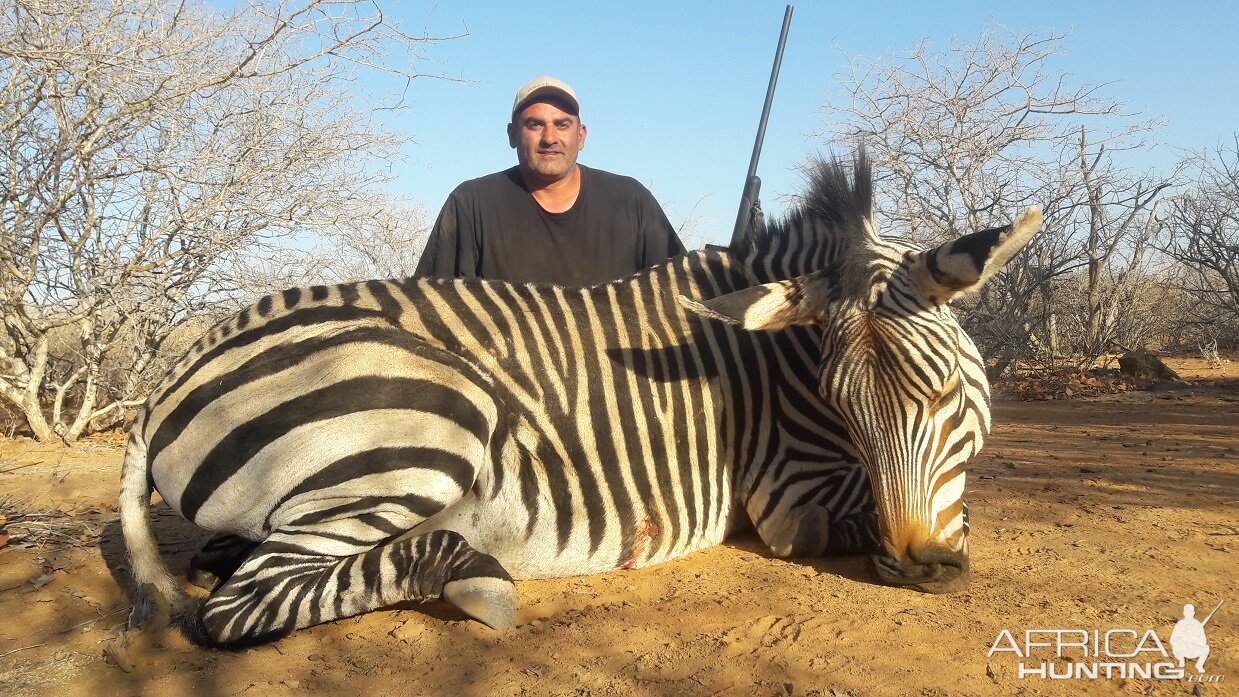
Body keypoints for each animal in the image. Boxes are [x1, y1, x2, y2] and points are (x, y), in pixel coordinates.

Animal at [120, 155, 1040, 648]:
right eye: (842, 406)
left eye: (945, 392)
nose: (920, 563)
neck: (776, 359)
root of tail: (168, 380)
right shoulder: (792, 500)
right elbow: (876, 516)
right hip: (435, 416)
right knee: (238, 606)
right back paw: (472, 577)